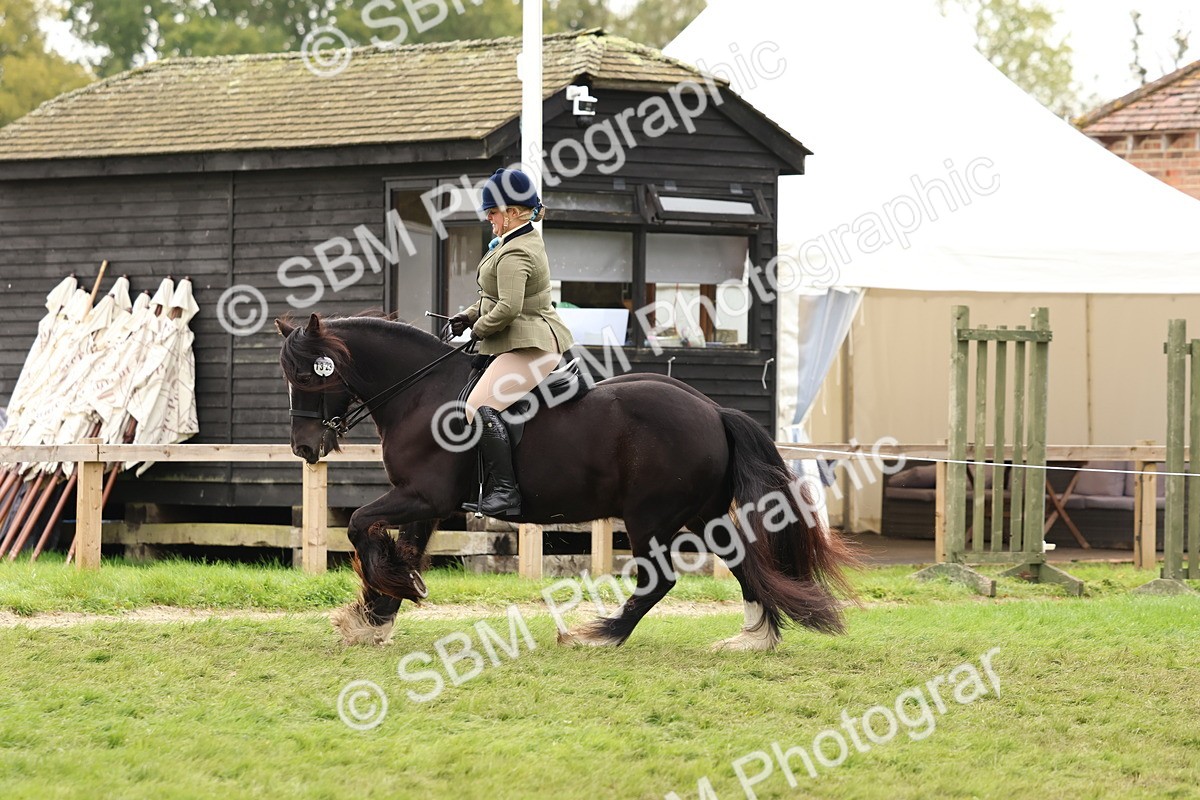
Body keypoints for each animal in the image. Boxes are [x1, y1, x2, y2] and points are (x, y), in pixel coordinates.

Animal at [276, 313, 856, 649]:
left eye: (307, 376)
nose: (305, 448)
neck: (420, 393)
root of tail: (713, 409)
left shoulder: (423, 495)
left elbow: (358, 524)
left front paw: (384, 599)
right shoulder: (426, 504)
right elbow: (403, 549)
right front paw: (378, 614)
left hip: (651, 517)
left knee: (659, 580)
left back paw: (597, 636)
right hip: (701, 514)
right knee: (740, 561)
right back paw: (753, 638)